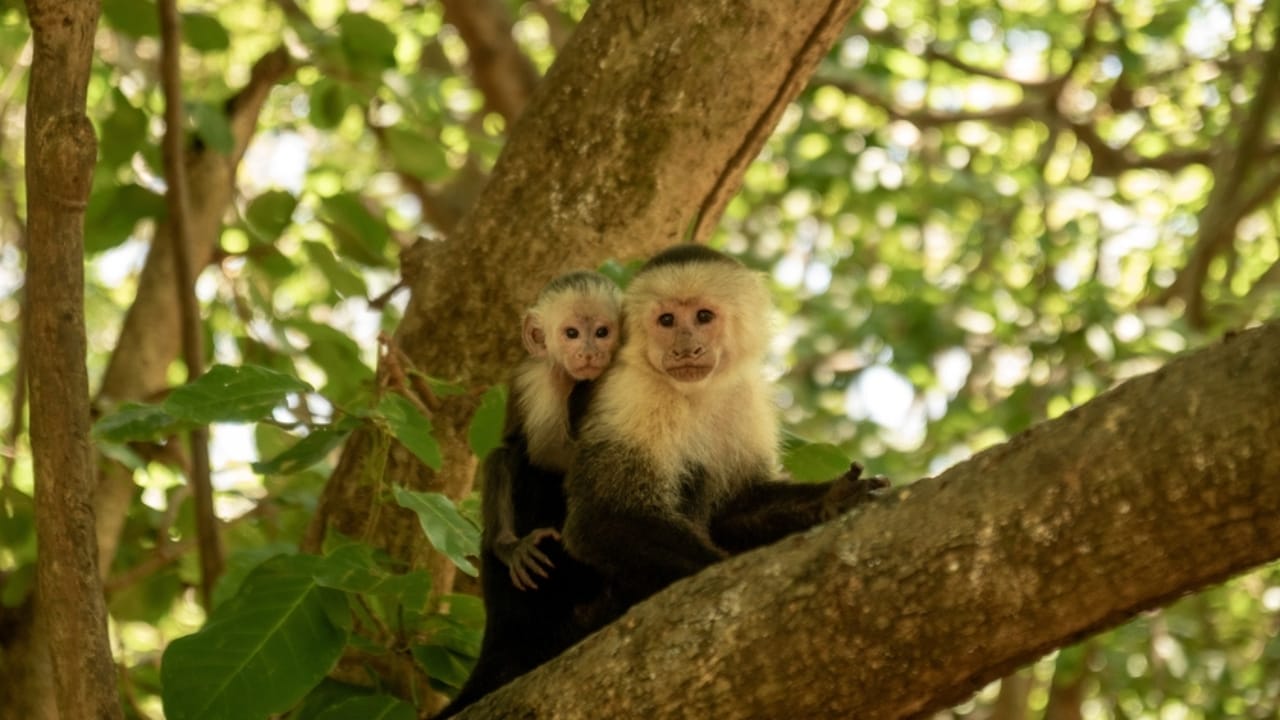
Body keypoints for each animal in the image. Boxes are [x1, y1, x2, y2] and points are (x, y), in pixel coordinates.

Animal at [435, 271, 620, 718]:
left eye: (602, 332)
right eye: (571, 333)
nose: (589, 352)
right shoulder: (540, 380)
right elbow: (546, 450)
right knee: (510, 455)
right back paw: (507, 545)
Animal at [560, 244, 887, 629]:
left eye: (703, 316)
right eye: (667, 321)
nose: (686, 348)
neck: (696, 393)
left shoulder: (745, 397)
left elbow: (736, 504)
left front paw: (832, 498)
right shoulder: (632, 392)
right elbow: (600, 518)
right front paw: (720, 565)